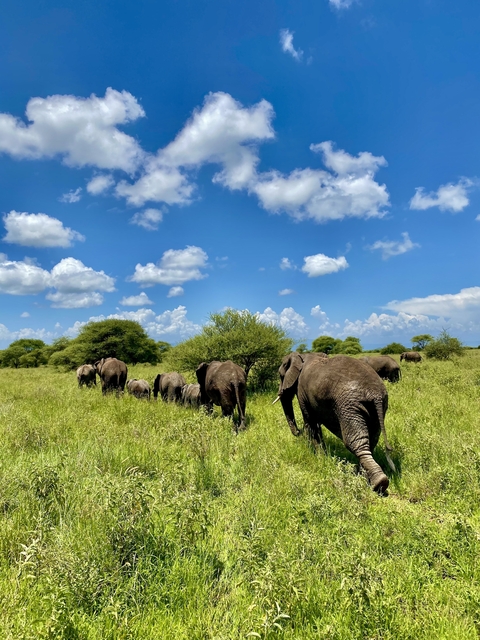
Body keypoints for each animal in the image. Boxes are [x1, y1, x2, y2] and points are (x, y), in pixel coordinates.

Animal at [274, 352, 395, 493]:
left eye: (280, 376)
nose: (298, 432)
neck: (302, 356)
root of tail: (375, 394)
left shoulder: (301, 391)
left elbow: (311, 423)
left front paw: (320, 459)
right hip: (376, 407)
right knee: (371, 440)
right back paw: (366, 478)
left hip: (348, 406)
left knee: (355, 442)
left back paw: (378, 483)